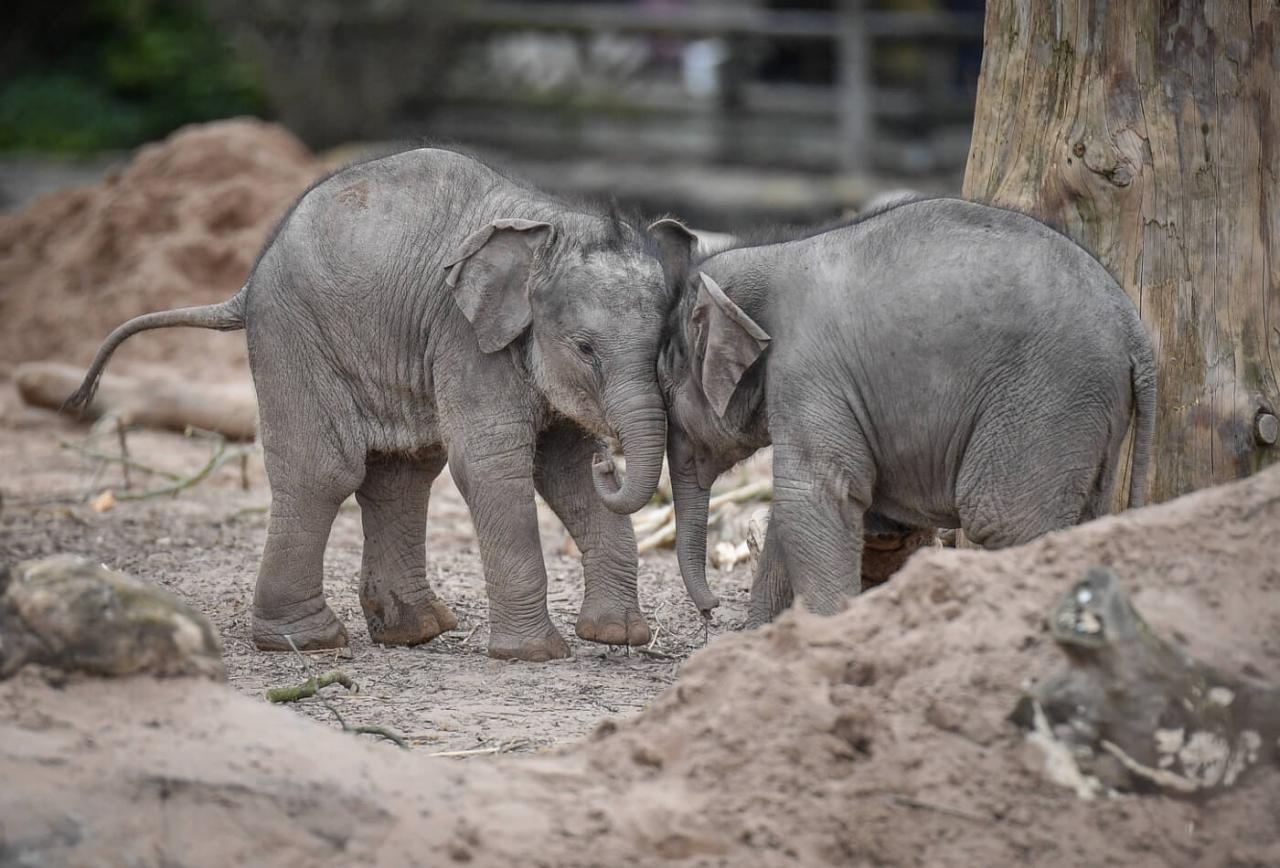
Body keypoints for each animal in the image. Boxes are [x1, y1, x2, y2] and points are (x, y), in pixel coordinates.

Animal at [66, 151, 675, 665]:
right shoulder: (467, 340)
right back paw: (308, 642)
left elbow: (565, 469)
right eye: (585, 348)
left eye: (665, 346)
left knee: (402, 473)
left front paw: (618, 637)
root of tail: (248, 282)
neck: (552, 223)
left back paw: (417, 631)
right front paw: (534, 655)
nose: (611, 459)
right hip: (295, 334)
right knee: (324, 472)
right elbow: (492, 466)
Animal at [655, 197, 1157, 624]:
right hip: (1091, 415)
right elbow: (796, 509)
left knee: (1009, 523)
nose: (710, 610)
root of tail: (1136, 332)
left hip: (1045, 401)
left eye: (664, 382)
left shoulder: (809, 375)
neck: (769, 255)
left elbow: (814, 496)